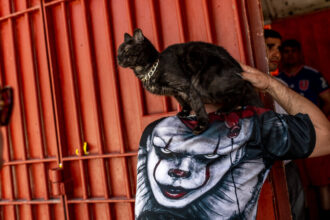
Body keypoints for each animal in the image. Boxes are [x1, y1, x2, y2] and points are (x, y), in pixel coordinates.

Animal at [117, 29, 262, 134]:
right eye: (118, 52)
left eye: (125, 50)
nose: (117, 59)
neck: (149, 68)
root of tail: (236, 65)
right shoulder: (175, 92)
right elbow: (183, 102)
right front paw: (184, 112)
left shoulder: (187, 86)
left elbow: (197, 106)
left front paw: (201, 124)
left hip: (204, 82)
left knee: (241, 89)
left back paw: (224, 109)